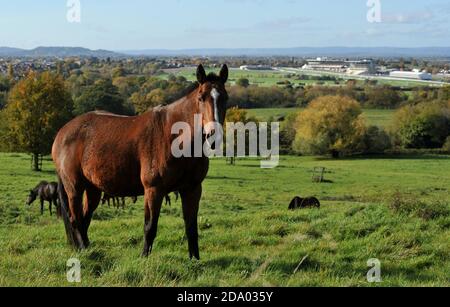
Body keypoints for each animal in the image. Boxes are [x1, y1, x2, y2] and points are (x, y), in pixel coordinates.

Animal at [52, 64, 229, 260]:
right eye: (201, 98)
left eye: (225, 98)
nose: (213, 135)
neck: (175, 137)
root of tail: (62, 132)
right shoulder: (153, 190)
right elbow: (150, 226)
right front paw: (144, 257)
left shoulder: (192, 189)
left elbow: (191, 227)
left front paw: (195, 260)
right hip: (74, 188)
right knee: (76, 219)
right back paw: (83, 250)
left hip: (93, 188)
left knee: (85, 218)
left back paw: (87, 249)